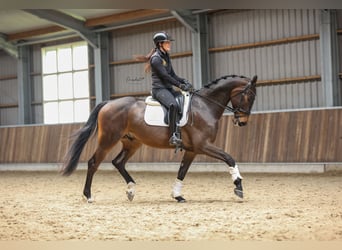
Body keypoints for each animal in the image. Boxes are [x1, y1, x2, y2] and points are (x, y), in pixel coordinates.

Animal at [62, 74, 258, 203]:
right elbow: (229, 158)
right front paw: (238, 186)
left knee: (118, 162)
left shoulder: (192, 150)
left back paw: (131, 190)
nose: (242, 122)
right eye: (248, 96)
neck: (204, 105)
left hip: (132, 142)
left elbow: (182, 171)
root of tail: (108, 103)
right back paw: (88, 195)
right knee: (93, 163)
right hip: (108, 140)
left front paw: (177, 195)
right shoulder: (203, 145)